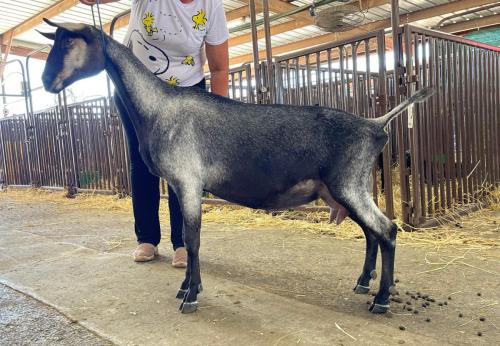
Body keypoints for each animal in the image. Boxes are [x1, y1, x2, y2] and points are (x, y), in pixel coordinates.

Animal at [38, 20, 430, 314]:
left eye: (70, 42)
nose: (45, 82)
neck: (159, 106)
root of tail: (375, 124)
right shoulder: (179, 185)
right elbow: (188, 237)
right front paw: (186, 288)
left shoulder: (188, 181)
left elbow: (192, 239)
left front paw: (191, 296)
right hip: (346, 188)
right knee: (371, 232)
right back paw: (364, 284)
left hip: (348, 183)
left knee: (386, 230)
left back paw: (381, 300)